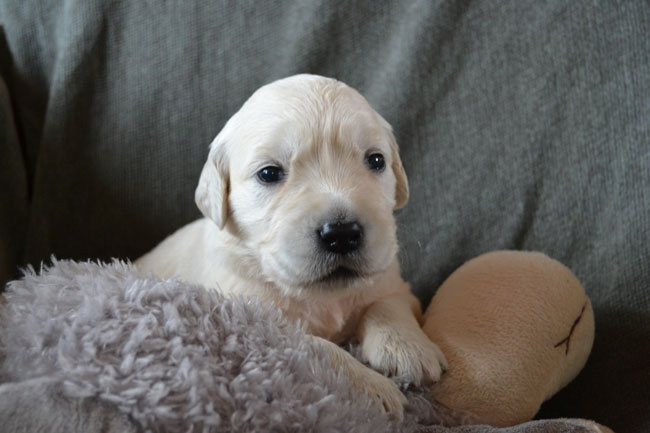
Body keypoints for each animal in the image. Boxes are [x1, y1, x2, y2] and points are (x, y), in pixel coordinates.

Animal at [137, 75, 446, 418]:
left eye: (376, 160)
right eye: (269, 173)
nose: (342, 233)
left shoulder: (393, 282)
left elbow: (388, 304)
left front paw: (408, 348)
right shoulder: (252, 322)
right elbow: (320, 348)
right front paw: (376, 389)